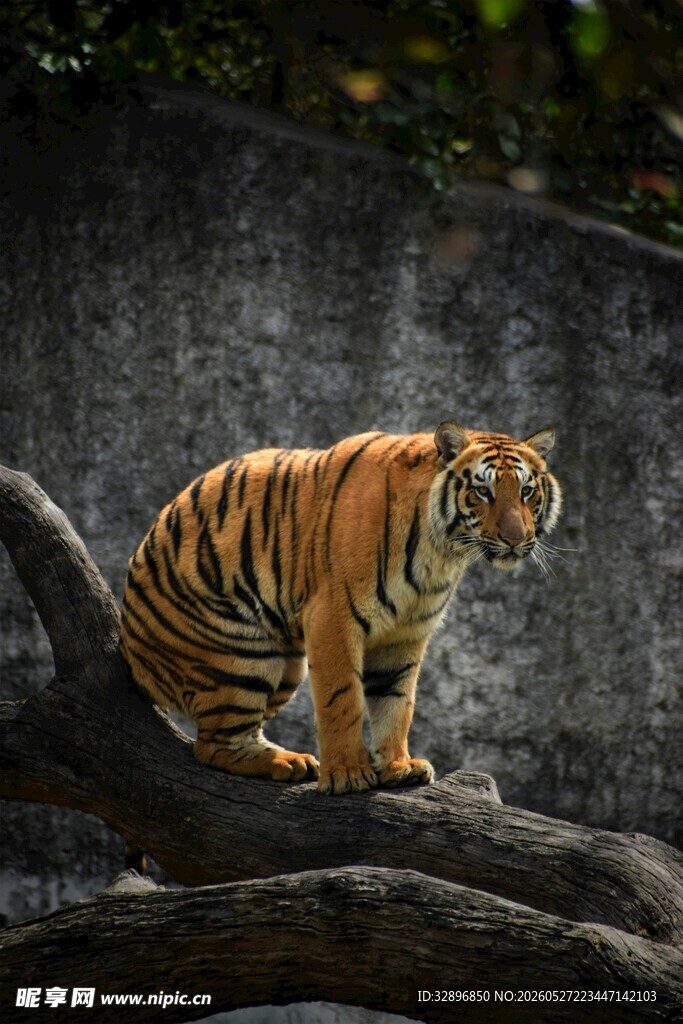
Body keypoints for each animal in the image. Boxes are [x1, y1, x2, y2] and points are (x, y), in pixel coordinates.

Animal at [119, 421, 562, 795]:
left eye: (527, 492)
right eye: (483, 492)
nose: (515, 538)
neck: (441, 552)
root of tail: (132, 652)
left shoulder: (406, 633)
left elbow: (397, 702)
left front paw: (399, 766)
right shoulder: (333, 617)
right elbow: (342, 699)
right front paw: (348, 774)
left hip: (286, 668)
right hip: (238, 654)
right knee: (213, 746)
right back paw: (288, 762)